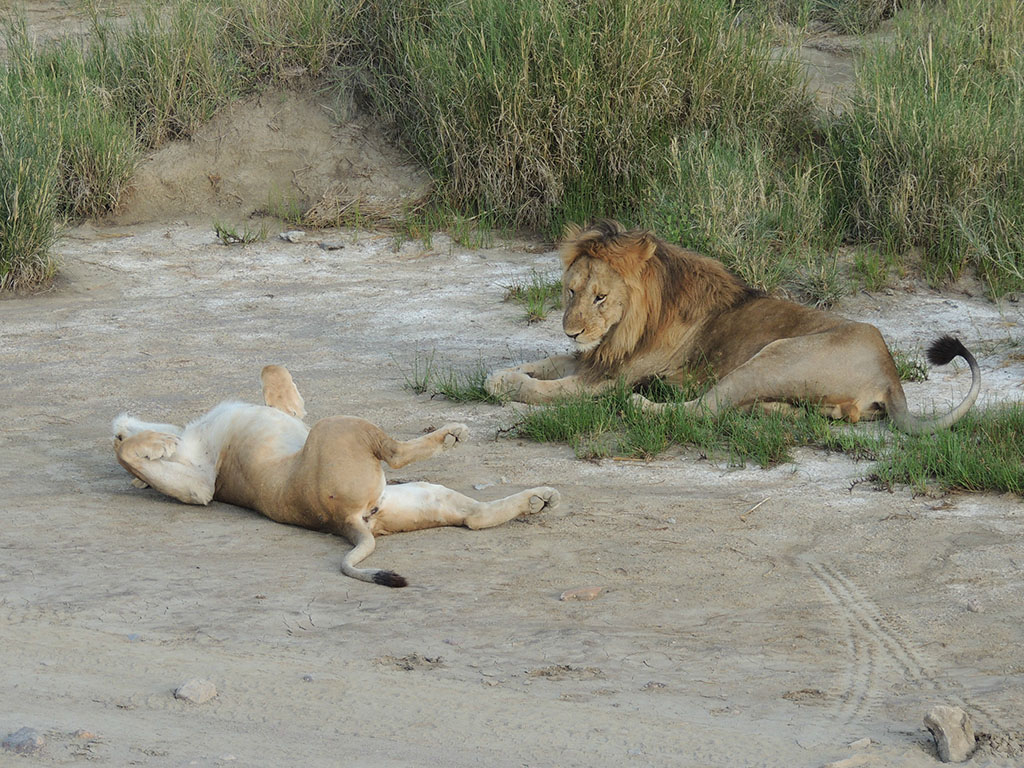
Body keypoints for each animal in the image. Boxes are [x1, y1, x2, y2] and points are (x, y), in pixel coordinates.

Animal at [115, 366, 561, 589]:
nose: (120, 425)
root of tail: (337, 522)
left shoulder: (207, 477)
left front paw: (140, 436)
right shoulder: (206, 484)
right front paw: (150, 442)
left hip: (418, 497)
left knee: (475, 518)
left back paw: (541, 498)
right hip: (340, 425)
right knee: (397, 454)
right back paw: (453, 434)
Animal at [487, 219, 983, 434]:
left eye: (600, 297)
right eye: (570, 291)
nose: (571, 331)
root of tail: (891, 374)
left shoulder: (611, 375)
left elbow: (552, 390)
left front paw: (508, 384)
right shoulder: (598, 355)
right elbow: (550, 362)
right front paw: (501, 372)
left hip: (774, 354)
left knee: (702, 409)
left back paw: (645, 405)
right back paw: (771, 411)